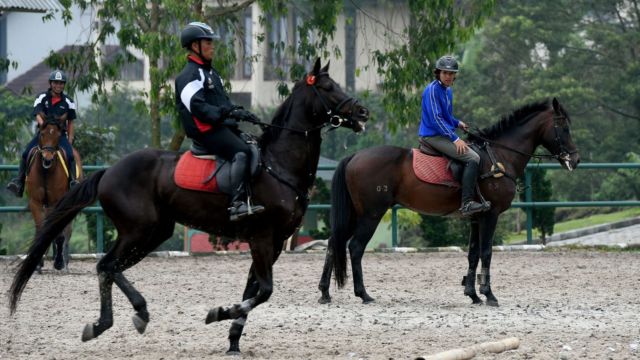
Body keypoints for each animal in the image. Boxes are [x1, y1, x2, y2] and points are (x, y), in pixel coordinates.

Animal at [27, 114, 83, 272]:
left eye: (58, 135)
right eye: (42, 134)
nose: (47, 158)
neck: (46, 172)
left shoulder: (56, 203)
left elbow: (58, 233)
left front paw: (59, 261)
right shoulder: (35, 202)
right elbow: (41, 229)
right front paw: (38, 262)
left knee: (66, 230)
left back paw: (64, 261)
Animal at [318, 98, 580, 306]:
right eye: (564, 128)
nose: (575, 160)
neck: (498, 157)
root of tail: (354, 156)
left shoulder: (476, 218)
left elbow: (473, 254)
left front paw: (473, 294)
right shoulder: (491, 215)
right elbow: (486, 252)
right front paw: (489, 295)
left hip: (355, 214)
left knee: (333, 242)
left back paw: (324, 293)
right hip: (371, 214)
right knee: (355, 247)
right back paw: (363, 294)